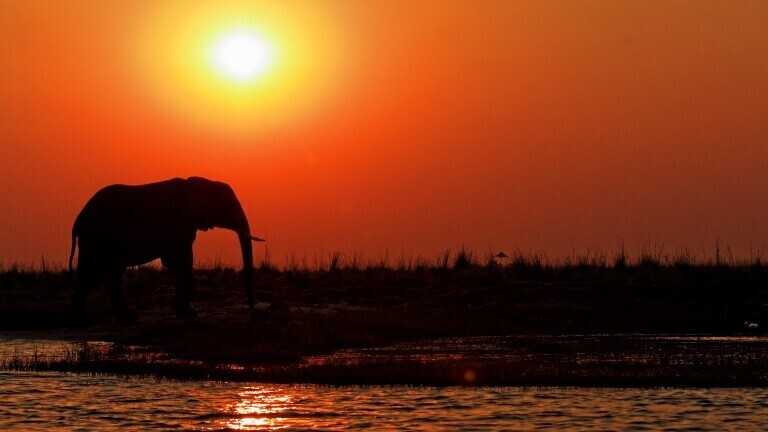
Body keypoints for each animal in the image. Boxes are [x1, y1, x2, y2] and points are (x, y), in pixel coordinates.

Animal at [67, 177, 264, 322]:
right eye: (228, 205)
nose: (251, 313)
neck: (199, 183)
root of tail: (77, 221)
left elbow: (175, 264)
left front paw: (182, 311)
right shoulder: (178, 224)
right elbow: (179, 261)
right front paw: (185, 312)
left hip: (92, 240)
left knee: (90, 276)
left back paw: (78, 319)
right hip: (101, 237)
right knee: (107, 274)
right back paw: (126, 318)